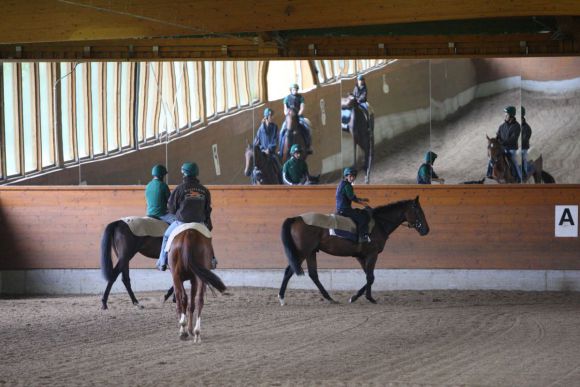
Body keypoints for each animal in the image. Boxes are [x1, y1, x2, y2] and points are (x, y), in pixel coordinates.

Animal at [278, 197, 428, 306]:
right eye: (419, 211)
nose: (426, 230)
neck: (379, 224)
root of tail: (297, 218)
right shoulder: (372, 254)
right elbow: (370, 277)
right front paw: (364, 298)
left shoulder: (361, 256)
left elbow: (370, 276)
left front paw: (359, 297)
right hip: (302, 252)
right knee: (289, 271)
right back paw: (281, 298)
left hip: (311, 252)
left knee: (313, 274)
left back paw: (330, 298)